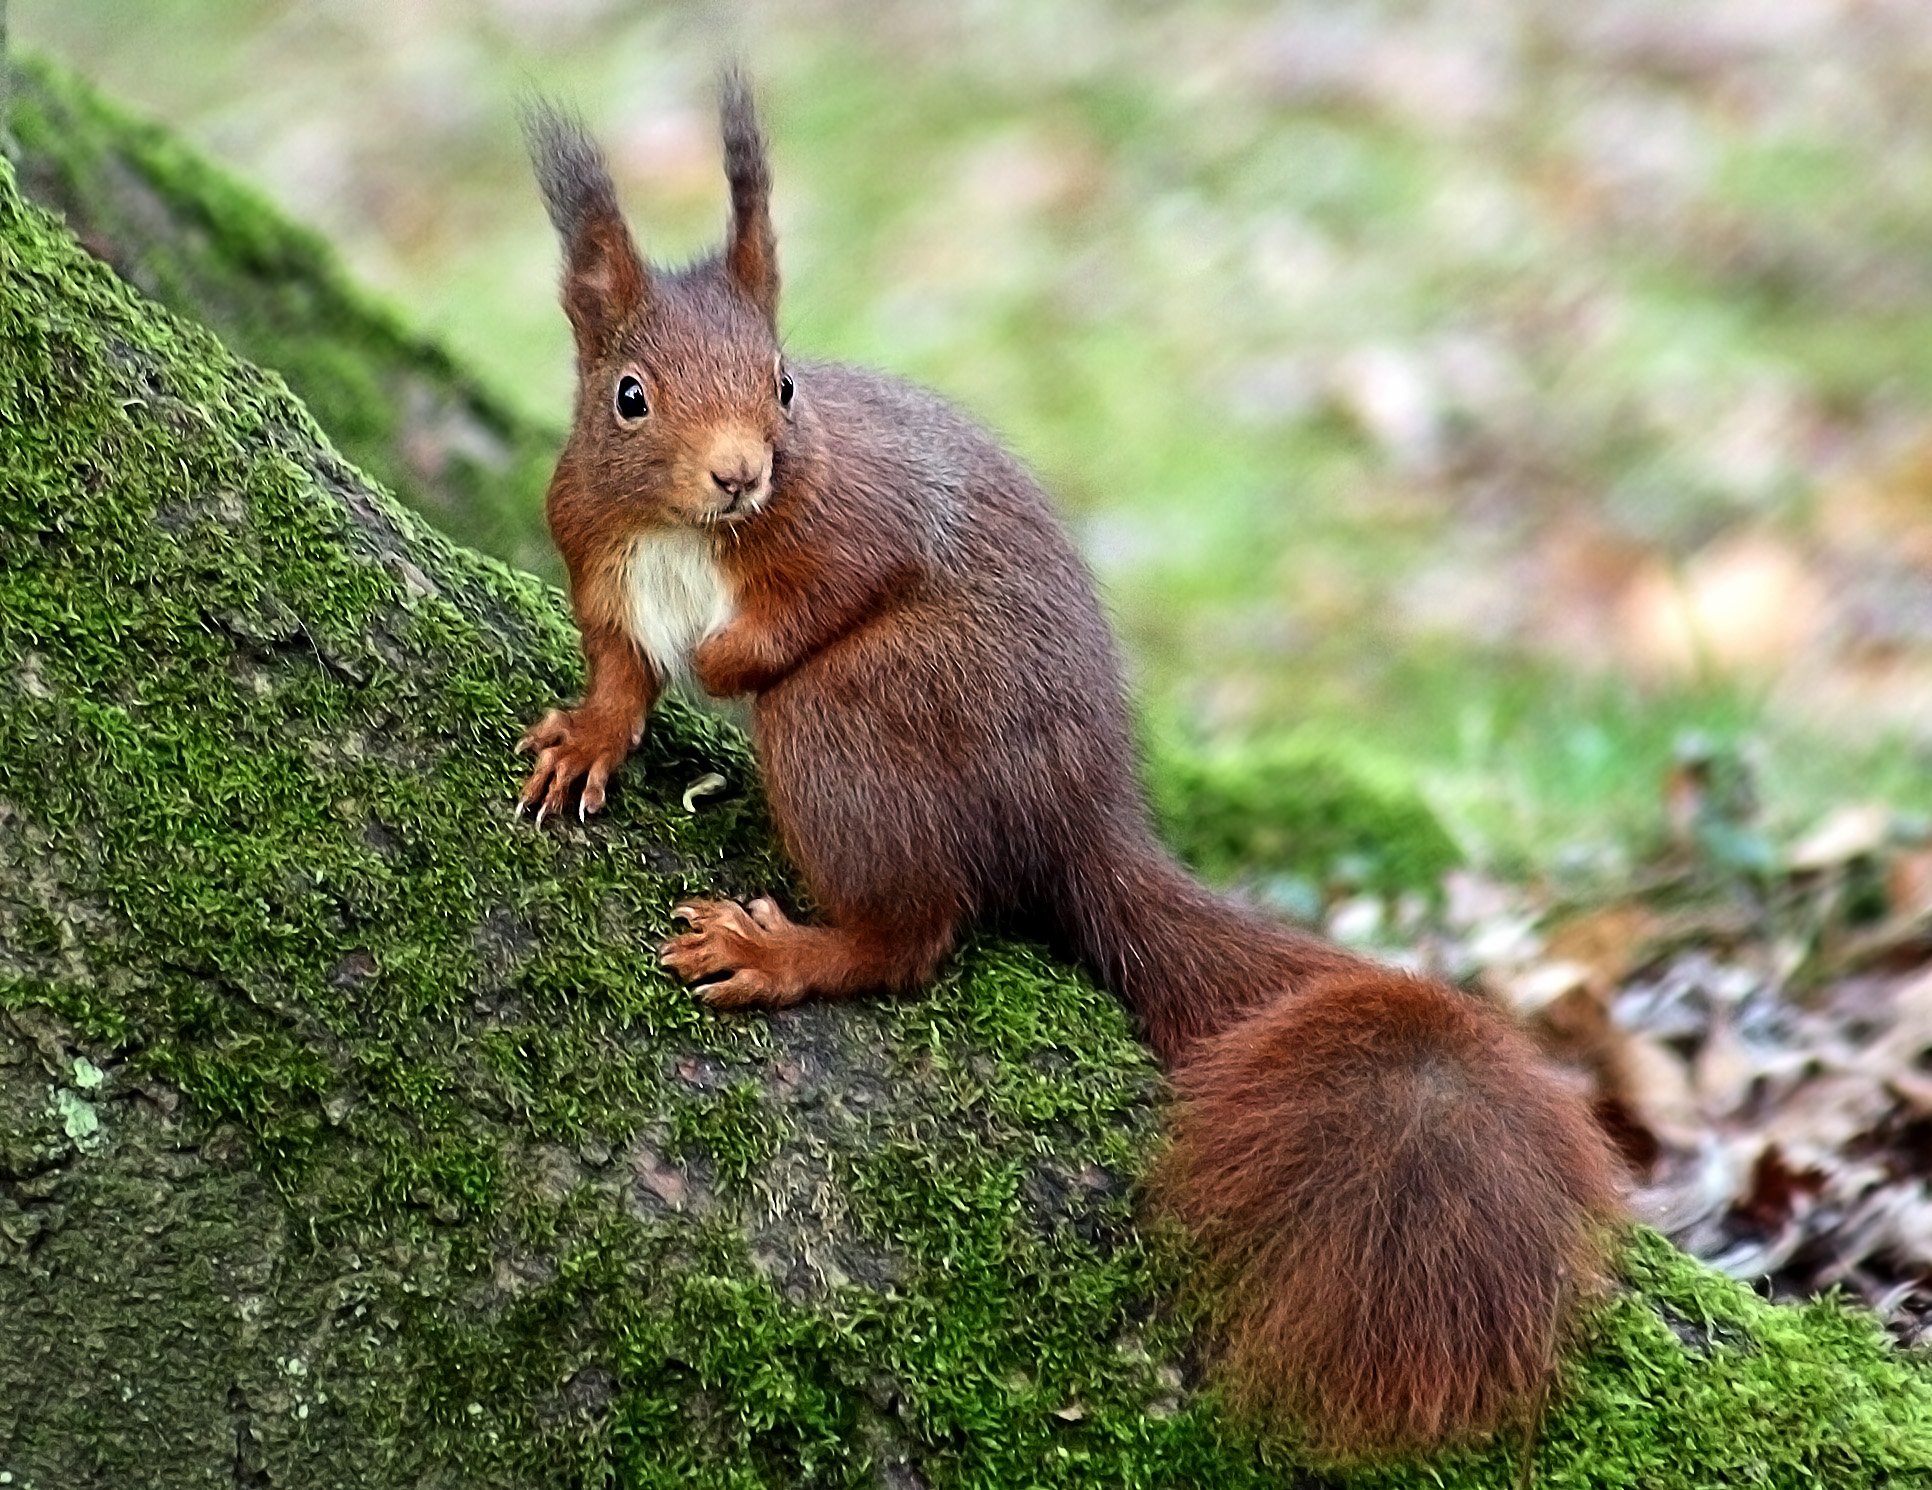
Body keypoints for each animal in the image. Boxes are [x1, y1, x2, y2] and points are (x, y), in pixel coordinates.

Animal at [517, 78, 1630, 1453]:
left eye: (782, 386)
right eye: (629, 395)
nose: (738, 473)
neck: (689, 531)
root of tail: (1080, 817)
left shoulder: (862, 515)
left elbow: (835, 589)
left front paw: (727, 658)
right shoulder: (593, 543)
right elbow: (620, 669)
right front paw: (584, 736)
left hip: (865, 720)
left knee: (912, 929)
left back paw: (782, 948)